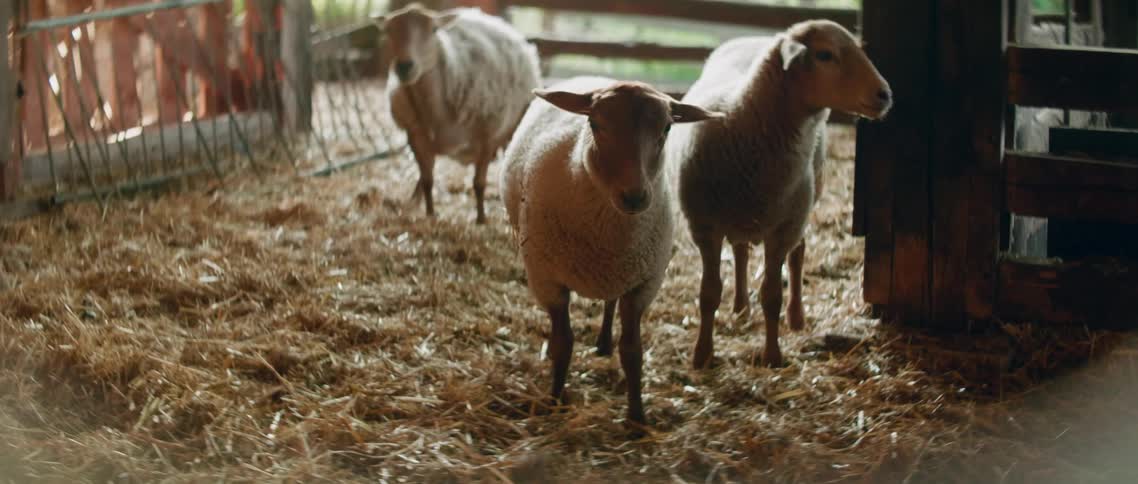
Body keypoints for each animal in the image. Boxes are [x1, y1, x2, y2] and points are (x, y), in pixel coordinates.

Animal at [376, 4, 540, 224]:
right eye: (388, 31)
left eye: (434, 29)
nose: (404, 66)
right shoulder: (416, 137)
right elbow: (427, 180)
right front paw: (430, 214)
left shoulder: (487, 136)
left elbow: (479, 182)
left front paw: (481, 219)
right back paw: (414, 201)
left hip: (511, 126)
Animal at [501, 76, 723, 424]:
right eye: (594, 123)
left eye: (666, 128)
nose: (634, 196)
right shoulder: (548, 281)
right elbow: (563, 344)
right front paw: (554, 401)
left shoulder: (643, 284)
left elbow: (632, 351)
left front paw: (637, 417)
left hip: (622, 273)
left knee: (609, 302)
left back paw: (604, 343)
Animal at [667, 20, 892, 369]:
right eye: (825, 54)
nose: (885, 95)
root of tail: (755, 37)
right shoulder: (704, 227)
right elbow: (709, 293)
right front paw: (702, 354)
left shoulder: (783, 229)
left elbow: (772, 296)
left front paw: (772, 355)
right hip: (745, 215)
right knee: (741, 251)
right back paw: (740, 308)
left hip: (800, 206)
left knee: (798, 253)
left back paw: (796, 316)